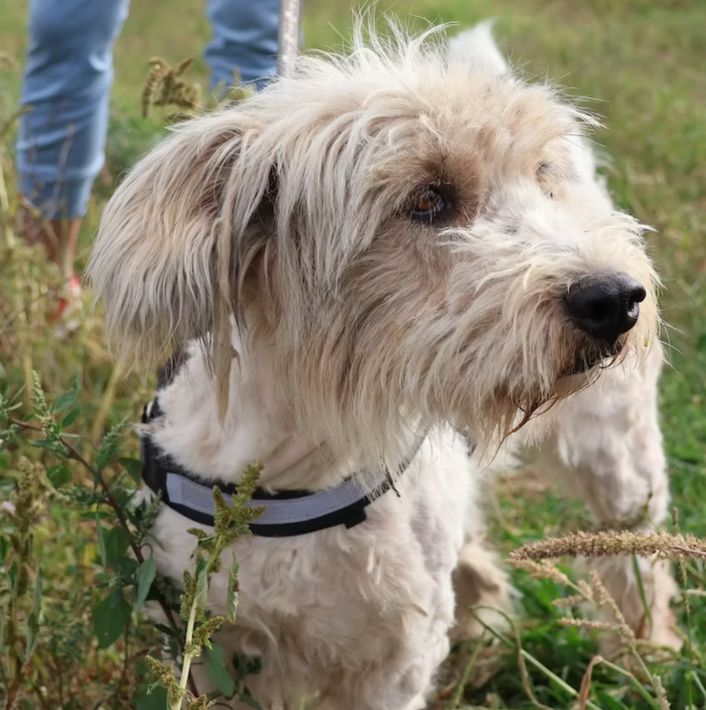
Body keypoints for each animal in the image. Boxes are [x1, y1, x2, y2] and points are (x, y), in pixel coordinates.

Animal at [89, 21, 677, 709]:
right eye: (427, 199)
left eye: (539, 177)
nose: (616, 299)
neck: (299, 464)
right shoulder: (200, 642)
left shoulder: (395, 662)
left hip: (620, 461)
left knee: (634, 554)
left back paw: (647, 653)